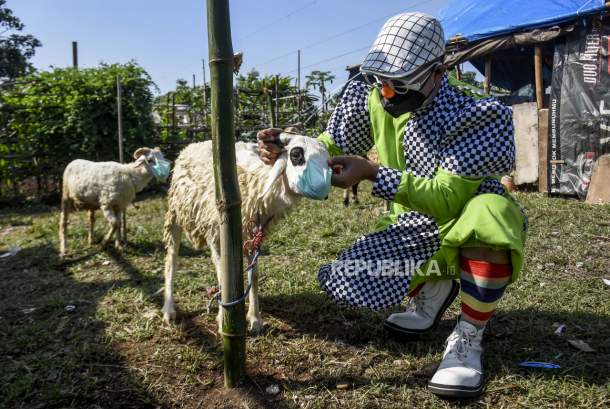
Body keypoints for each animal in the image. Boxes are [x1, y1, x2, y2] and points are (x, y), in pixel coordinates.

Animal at [162, 134, 328, 332]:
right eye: (296, 155)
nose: (324, 189)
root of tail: (194, 144)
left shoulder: (255, 236)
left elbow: (254, 276)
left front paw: (255, 319)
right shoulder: (215, 234)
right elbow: (223, 275)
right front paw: (222, 319)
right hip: (175, 213)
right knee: (171, 260)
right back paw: (169, 310)